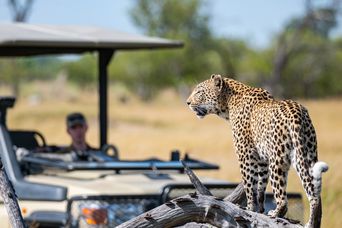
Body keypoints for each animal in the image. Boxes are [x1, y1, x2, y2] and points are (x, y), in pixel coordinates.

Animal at [187, 74, 328, 227]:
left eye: (199, 92)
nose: (187, 103)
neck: (228, 102)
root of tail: (296, 112)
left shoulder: (245, 154)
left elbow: (249, 184)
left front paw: (249, 208)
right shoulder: (262, 160)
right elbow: (260, 187)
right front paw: (259, 210)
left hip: (277, 161)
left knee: (282, 198)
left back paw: (276, 213)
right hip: (307, 155)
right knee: (315, 195)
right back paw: (312, 222)